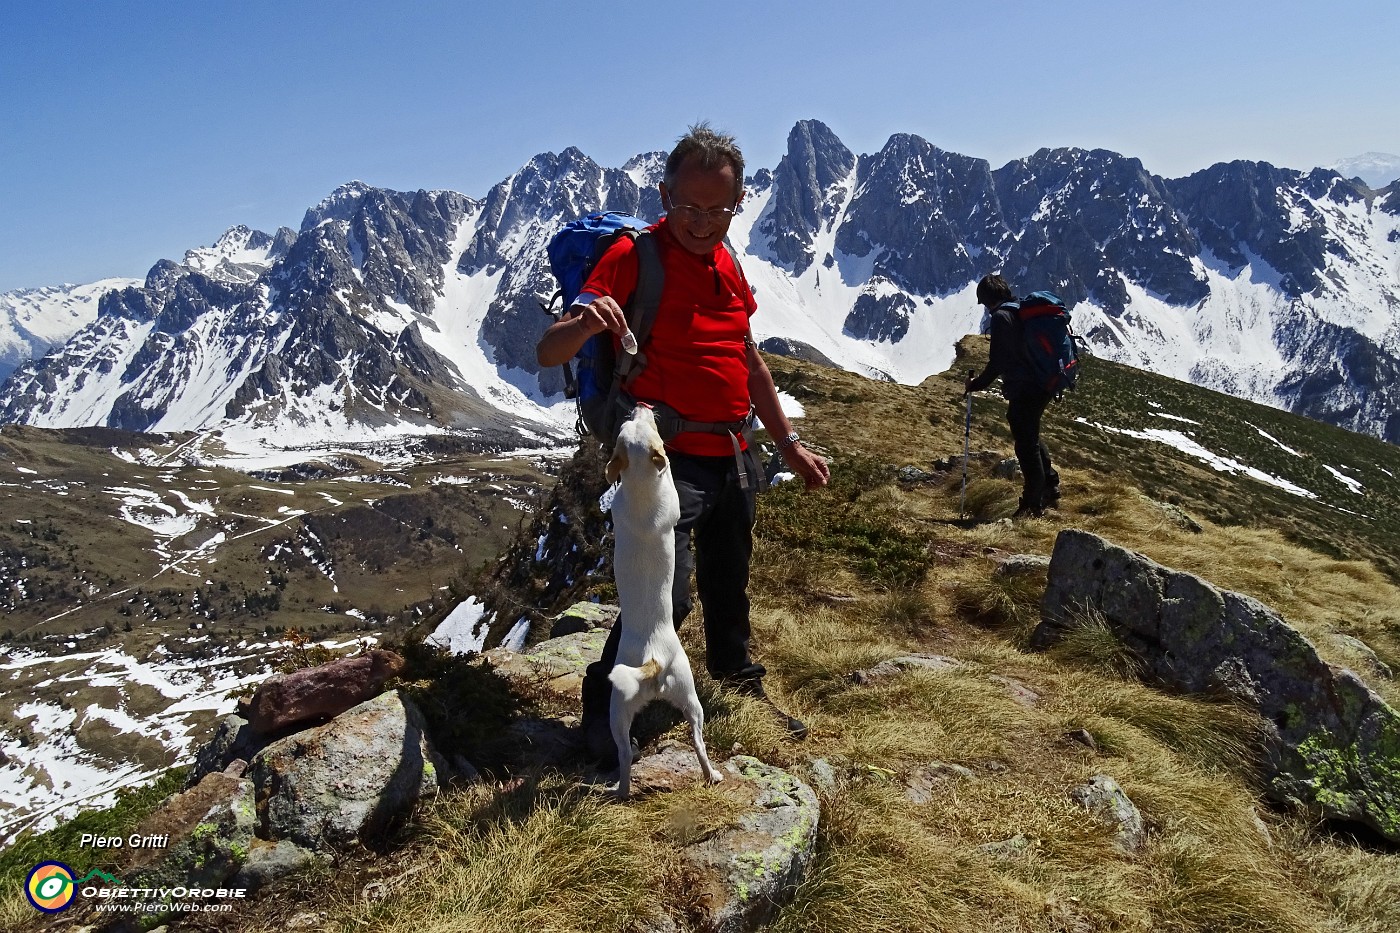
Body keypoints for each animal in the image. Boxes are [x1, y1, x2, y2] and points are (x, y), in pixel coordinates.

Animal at [607, 403, 728, 795]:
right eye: (646, 424)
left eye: (631, 423)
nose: (642, 405)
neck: (640, 486)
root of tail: (652, 659)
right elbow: (671, 473)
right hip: (690, 694)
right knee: (699, 741)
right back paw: (712, 774)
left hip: (622, 710)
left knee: (625, 755)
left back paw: (622, 790)